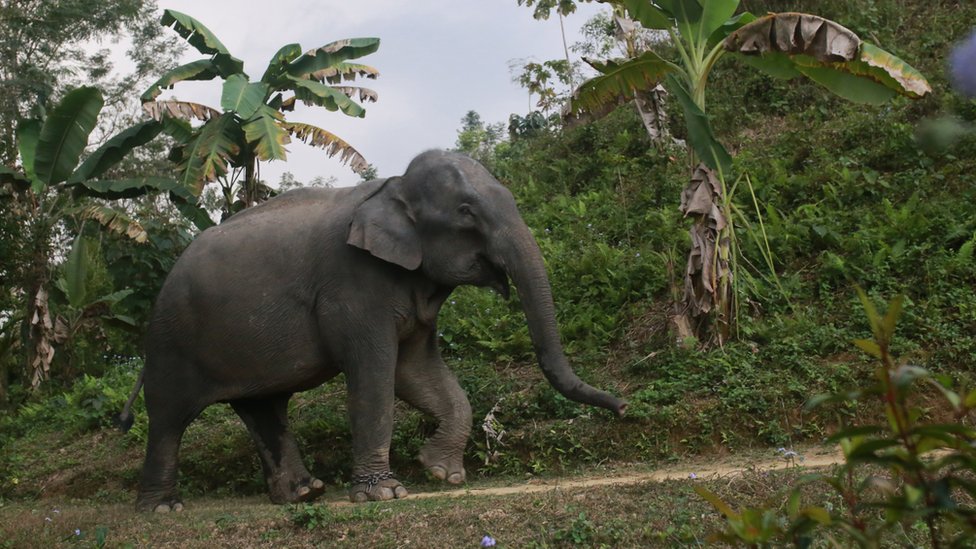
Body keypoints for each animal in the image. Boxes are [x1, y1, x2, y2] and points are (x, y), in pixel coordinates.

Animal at [120, 149, 624, 510]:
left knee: (263, 408)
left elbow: (417, 373)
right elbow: (375, 375)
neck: (392, 188)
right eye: (466, 212)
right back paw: (162, 508)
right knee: (168, 417)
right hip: (171, 339)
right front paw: (384, 494)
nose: (622, 406)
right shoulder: (353, 284)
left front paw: (442, 473)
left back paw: (304, 493)